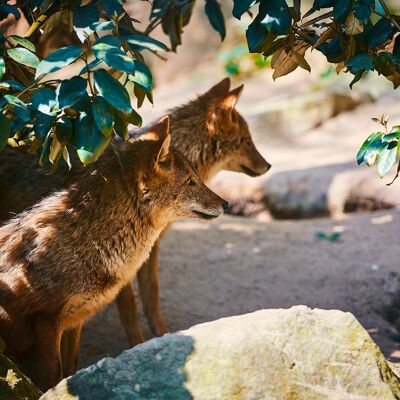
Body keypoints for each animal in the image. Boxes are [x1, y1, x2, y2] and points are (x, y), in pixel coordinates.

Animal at [0, 116, 228, 390]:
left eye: (197, 177)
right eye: (191, 181)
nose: (226, 203)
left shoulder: (73, 323)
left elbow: (69, 371)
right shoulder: (45, 324)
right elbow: (52, 377)